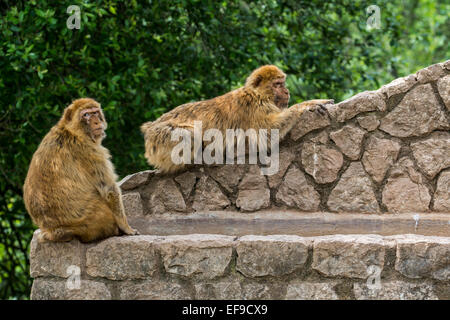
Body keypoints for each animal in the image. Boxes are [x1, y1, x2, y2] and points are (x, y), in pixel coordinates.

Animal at [23, 97, 137, 242]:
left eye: (95, 112)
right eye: (86, 114)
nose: (96, 121)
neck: (71, 131)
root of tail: (54, 231)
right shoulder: (89, 150)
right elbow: (109, 190)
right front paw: (126, 227)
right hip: (97, 220)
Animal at [142, 64, 334, 174]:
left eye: (283, 83)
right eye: (278, 84)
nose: (286, 91)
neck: (259, 95)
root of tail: (149, 127)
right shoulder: (253, 108)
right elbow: (268, 131)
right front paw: (308, 105)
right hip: (159, 137)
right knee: (189, 134)